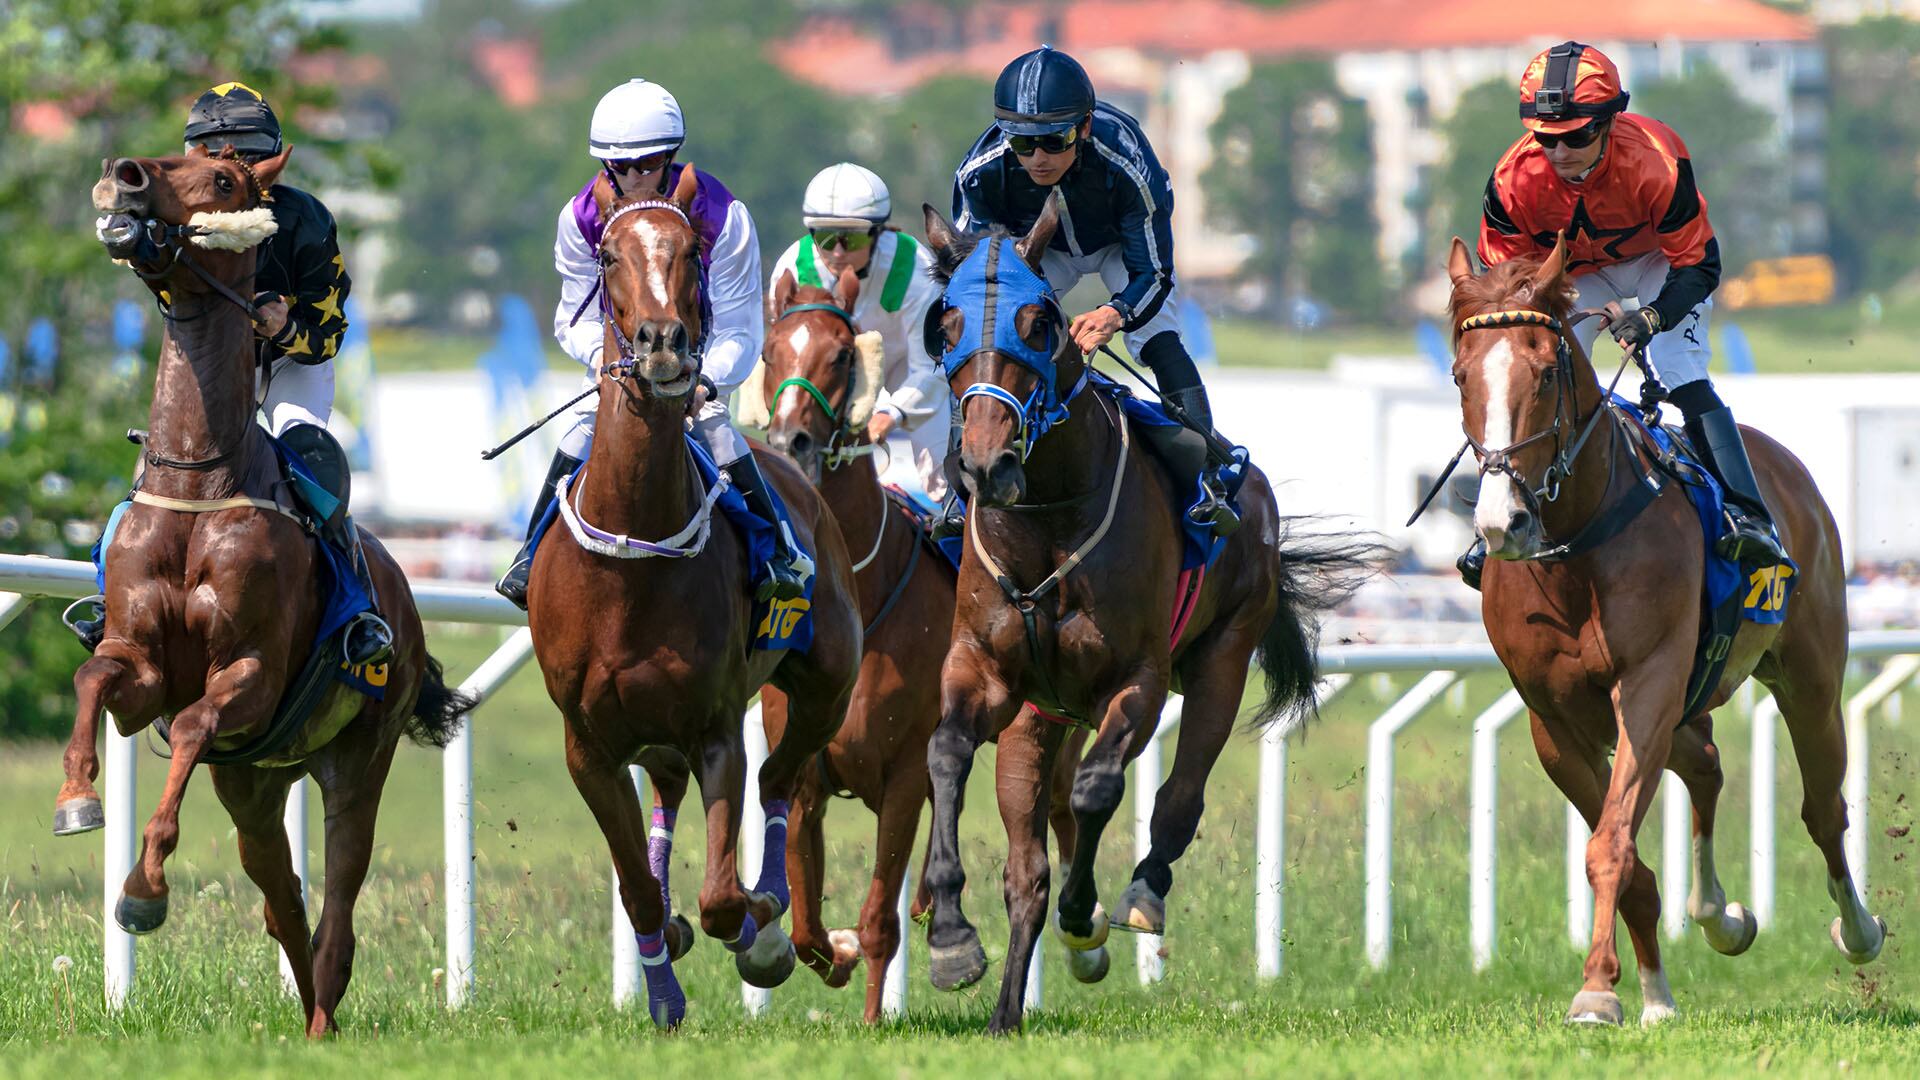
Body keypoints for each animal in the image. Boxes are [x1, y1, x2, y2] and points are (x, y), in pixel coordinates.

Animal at [70, 148, 472, 1036]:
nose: (124, 175)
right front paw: (77, 798)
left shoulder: (251, 670)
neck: (202, 476)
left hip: (358, 757)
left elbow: (193, 720)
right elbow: (97, 676)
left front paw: (143, 892)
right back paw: (312, 1007)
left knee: (340, 904)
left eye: (223, 181)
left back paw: (323, 1014)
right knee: (281, 895)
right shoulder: (139, 661)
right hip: (253, 783)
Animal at [525, 166, 862, 1029]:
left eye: (688, 250)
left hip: (826, 686)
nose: (663, 344)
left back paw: (777, 919)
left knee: (781, 784)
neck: (631, 559)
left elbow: (720, 897)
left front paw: (757, 933)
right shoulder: (587, 746)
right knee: (669, 802)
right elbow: (640, 892)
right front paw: (664, 991)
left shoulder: (716, 727)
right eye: (609, 254)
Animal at [737, 268, 1085, 1021]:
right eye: (772, 350)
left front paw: (874, 1014)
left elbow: (877, 920)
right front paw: (828, 952)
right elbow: (806, 917)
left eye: (843, 355)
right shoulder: (803, 772)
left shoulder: (899, 775)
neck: (862, 598)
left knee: (1061, 805)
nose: (791, 442)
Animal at [918, 200, 1375, 1034]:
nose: (987, 464)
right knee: (1029, 858)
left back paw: (1132, 897)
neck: (1047, 520)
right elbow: (947, 754)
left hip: (1223, 659)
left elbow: (1101, 791)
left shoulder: (1139, 678)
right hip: (1040, 719)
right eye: (947, 322)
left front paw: (1086, 911)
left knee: (1177, 796)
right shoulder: (983, 669)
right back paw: (1007, 1009)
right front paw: (952, 939)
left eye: (1040, 322)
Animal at [1444, 235, 1885, 1026]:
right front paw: (1642, 990)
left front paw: (1595, 988)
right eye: (1462, 376)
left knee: (1821, 807)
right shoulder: (1553, 718)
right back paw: (1716, 918)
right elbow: (1624, 854)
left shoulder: (1647, 684)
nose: (1503, 522)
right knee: (1706, 763)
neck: (1576, 548)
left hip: (1808, 677)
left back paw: (1858, 930)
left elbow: (1611, 845)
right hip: (1689, 699)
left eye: (1547, 372)